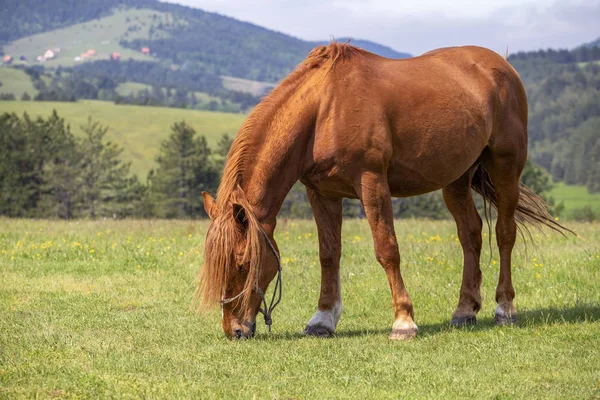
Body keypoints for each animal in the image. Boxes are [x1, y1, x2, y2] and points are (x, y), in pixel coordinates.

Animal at [196, 41, 568, 340]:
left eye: (243, 263)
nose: (235, 329)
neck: (324, 109)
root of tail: (501, 65)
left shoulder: (372, 182)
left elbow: (387, 250)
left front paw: (403, 321)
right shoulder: (322, 193)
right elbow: (328, 254)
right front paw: (323, 319)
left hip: (506, 167)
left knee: (504, 234)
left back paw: (505, 309)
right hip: (456, 179)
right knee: (470, 235)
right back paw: (464, 310)